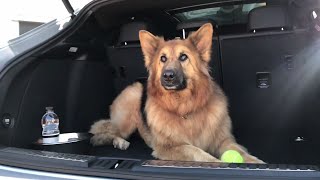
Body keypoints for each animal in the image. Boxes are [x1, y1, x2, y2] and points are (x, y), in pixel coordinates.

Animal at [89, 22, 262, 163]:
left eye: (183, 57)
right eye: (163, 59)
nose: (168, 76)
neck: (183, 107)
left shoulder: (223, 140)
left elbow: (240, 152)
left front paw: (257, 163)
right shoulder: (169, 147)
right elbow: (197, 152)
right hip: (129, 112)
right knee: (104, 133)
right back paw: (119, 142)